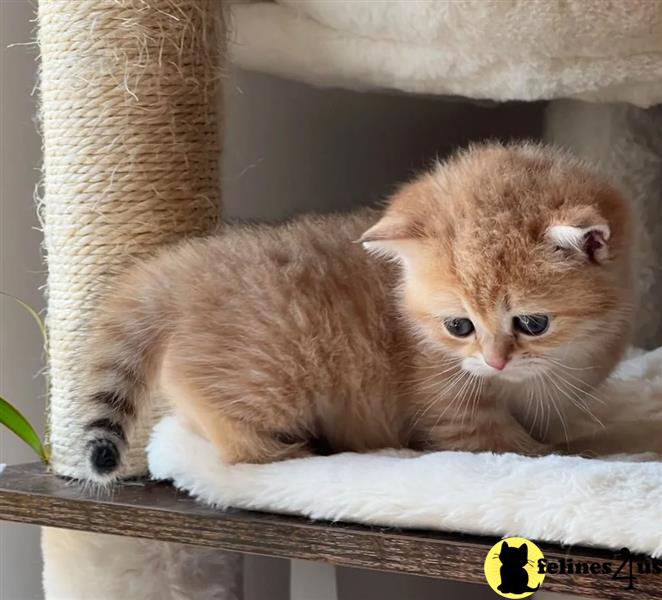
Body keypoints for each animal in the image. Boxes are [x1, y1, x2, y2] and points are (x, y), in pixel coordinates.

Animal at [80, 143, 636, 480]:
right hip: (271, 379)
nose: (496, 361)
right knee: (222, 423)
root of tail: (185, 265)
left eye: (532, 324)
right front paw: (579, 455)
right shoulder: (455, 412)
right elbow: (519, 448)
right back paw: (285, 451)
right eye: (459, 326)